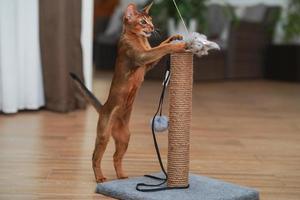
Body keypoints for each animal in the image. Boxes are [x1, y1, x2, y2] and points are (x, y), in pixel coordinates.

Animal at [71, 1, 186, 183]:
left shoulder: (148, 64)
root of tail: (103, 107)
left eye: (150, 20)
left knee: (116, 157)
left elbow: (162, 45)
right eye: (143, 22)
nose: (152, 27)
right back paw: (100, 178)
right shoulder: (142, 57)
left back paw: (122, 176)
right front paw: (179, 45)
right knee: (95, 157)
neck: (139, 38)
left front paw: (175, 37)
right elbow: (162, 48)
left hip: (125, 138)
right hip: (103, 136)